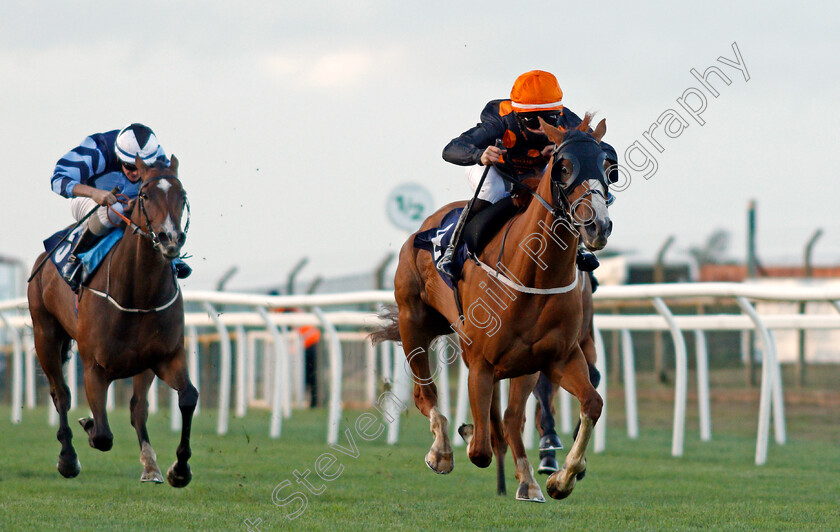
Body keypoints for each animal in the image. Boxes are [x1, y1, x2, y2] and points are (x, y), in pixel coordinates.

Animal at [26, 155, 197, 486]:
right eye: (145, 195)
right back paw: (68, 458)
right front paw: (87, 427)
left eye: (182, 196)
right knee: (60, 395)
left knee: (138, 408)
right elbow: (103, 435)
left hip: (142, 364)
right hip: (45, 334)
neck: (139, 295)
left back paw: (150, 465)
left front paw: (179, 469)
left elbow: (187, 398)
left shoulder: (166, 356)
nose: (170, 239)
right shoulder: (94, 367)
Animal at [372, 114, 612, 500]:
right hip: (414, 322)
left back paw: (528, 480)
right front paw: (466, 436)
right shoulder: (481, 364)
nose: (597, 225)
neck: (533, 274)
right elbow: (481, 449)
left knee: (513, 418)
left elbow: (591, 402)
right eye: (563, 167)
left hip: (524, 364)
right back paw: (442, 451)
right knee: (426, 395)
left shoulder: (559, 356)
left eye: (608, 166)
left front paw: (562, 478)